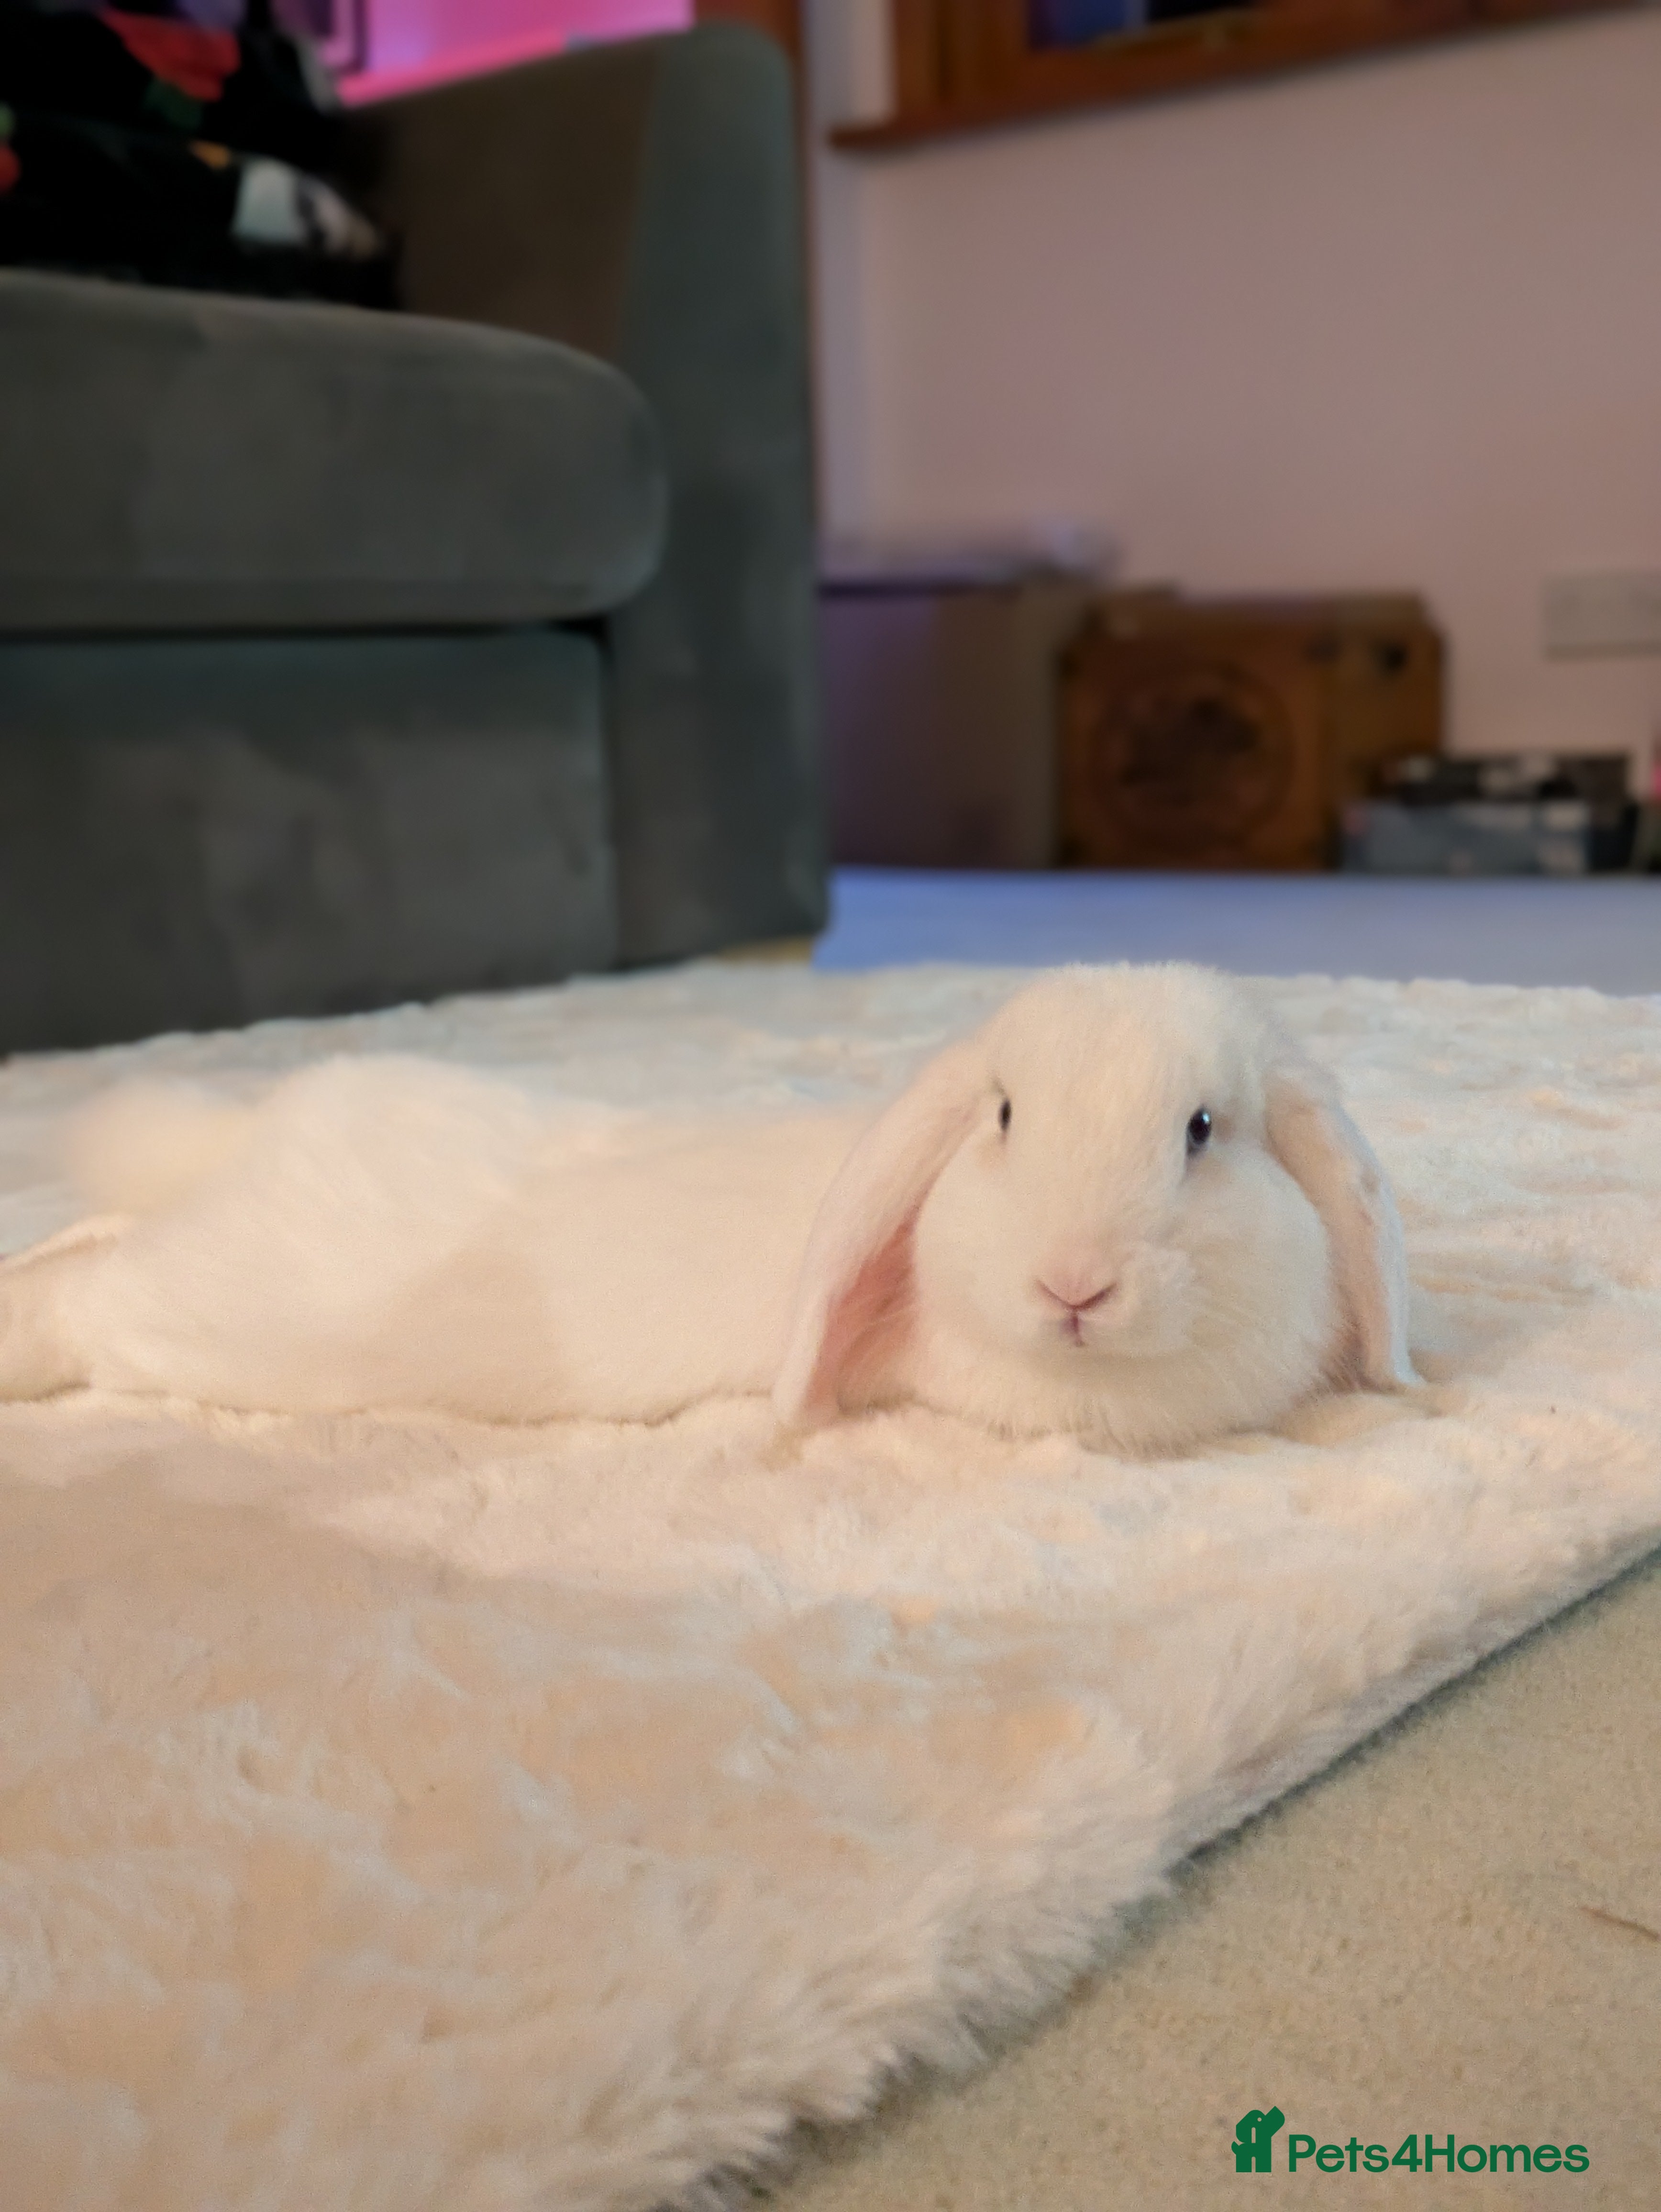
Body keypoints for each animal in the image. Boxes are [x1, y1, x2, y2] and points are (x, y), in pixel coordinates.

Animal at [0, 963, 1417, 1452]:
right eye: (1007, 1116)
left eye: (1202, 1131)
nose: (1075, 1284)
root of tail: (261, 1138)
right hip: (207, 1317)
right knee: (87, 1293)